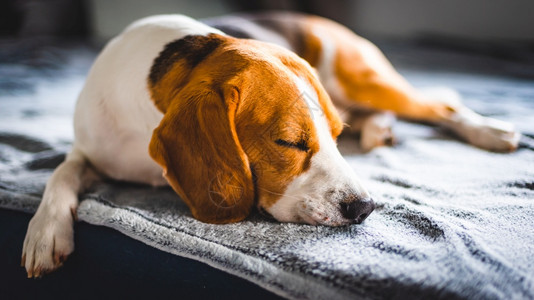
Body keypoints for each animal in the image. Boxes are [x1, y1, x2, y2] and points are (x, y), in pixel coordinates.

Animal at [22, 12, 524, 278]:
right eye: (289, 141)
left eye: (332, 138)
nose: (365, 208)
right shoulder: (89, 148)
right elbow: (61, 172)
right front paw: (46, 232)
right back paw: (380, 130)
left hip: (366, 80)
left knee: (442, 106)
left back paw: (492, 131)